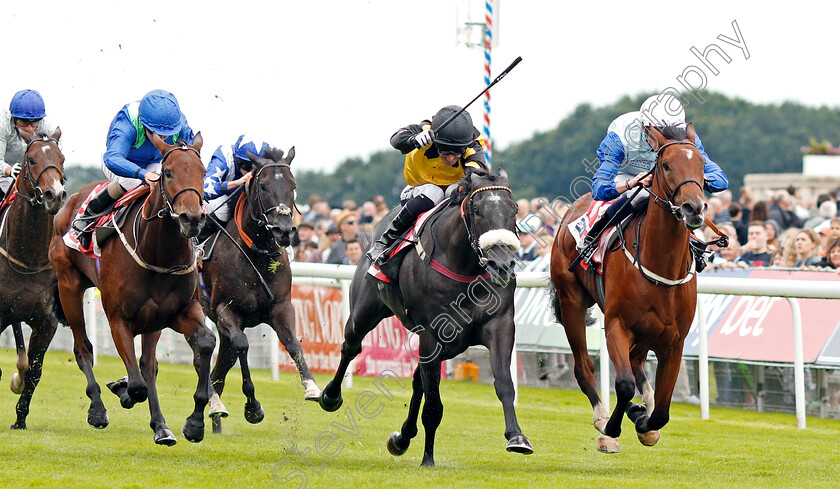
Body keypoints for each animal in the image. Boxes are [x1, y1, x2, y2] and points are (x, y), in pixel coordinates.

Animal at [48, 132, 217, 444]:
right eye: (167, 172)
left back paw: (161, 426)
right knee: (83, 348)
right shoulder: (118, 319)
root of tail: (69, 203)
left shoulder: (176, 312)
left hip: (152, 321)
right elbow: (136, 385)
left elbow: (205, 342)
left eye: (203, 173)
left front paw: (195, 422)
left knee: (149, 366)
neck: (158, 253)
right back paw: (98, 409)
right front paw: (123, 390)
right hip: (69, 286)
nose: (192, 218)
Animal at [200, 146, 322, 434]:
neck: (256, 254)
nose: (284, 230)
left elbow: (293, 344)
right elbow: (243, 345)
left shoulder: (281, 307)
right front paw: (253, 407)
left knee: (219, 369)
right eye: (263, 185)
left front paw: (312, 387)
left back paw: (214, 413)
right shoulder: (225, 310)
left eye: (293, 185)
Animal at [316, 168, 532, 466]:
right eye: (477, 210)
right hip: (365, 309)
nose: (502, 264)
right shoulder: (432, 334)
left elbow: (503, 382)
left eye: (515, 209)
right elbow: (433, 403)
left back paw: (403, 437)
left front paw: (517, 437)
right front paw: (428, 458)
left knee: (418, 377)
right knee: (351, 345)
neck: (463, 268)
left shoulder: (498, 324)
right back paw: (330, 395)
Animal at [552, 124, 708, 452]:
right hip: (571, 300)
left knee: (636, 360)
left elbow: (662, 411)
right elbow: (623, 384)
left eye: (702, 165)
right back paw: (602, 418)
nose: (694, 208)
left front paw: (644, 421)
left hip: (649, 329)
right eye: (666, 165)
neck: (661, 265)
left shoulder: (674, 341)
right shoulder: (617, 325)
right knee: (583, 367)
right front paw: (613, 427)